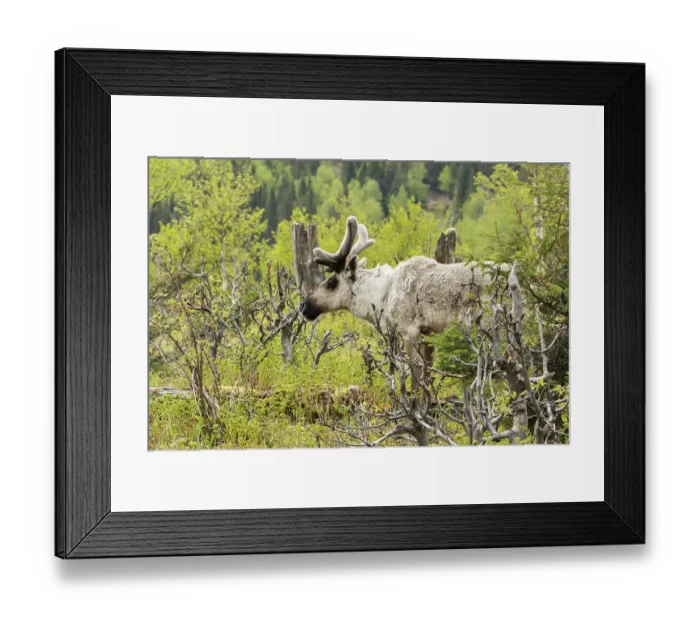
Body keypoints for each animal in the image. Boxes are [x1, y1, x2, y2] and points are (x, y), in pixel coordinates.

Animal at [298, 216, 502, 383]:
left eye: (331, 282)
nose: (303, 305)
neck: (383, 296)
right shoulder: (428, 336)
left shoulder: (409, 331)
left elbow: (415, 378)